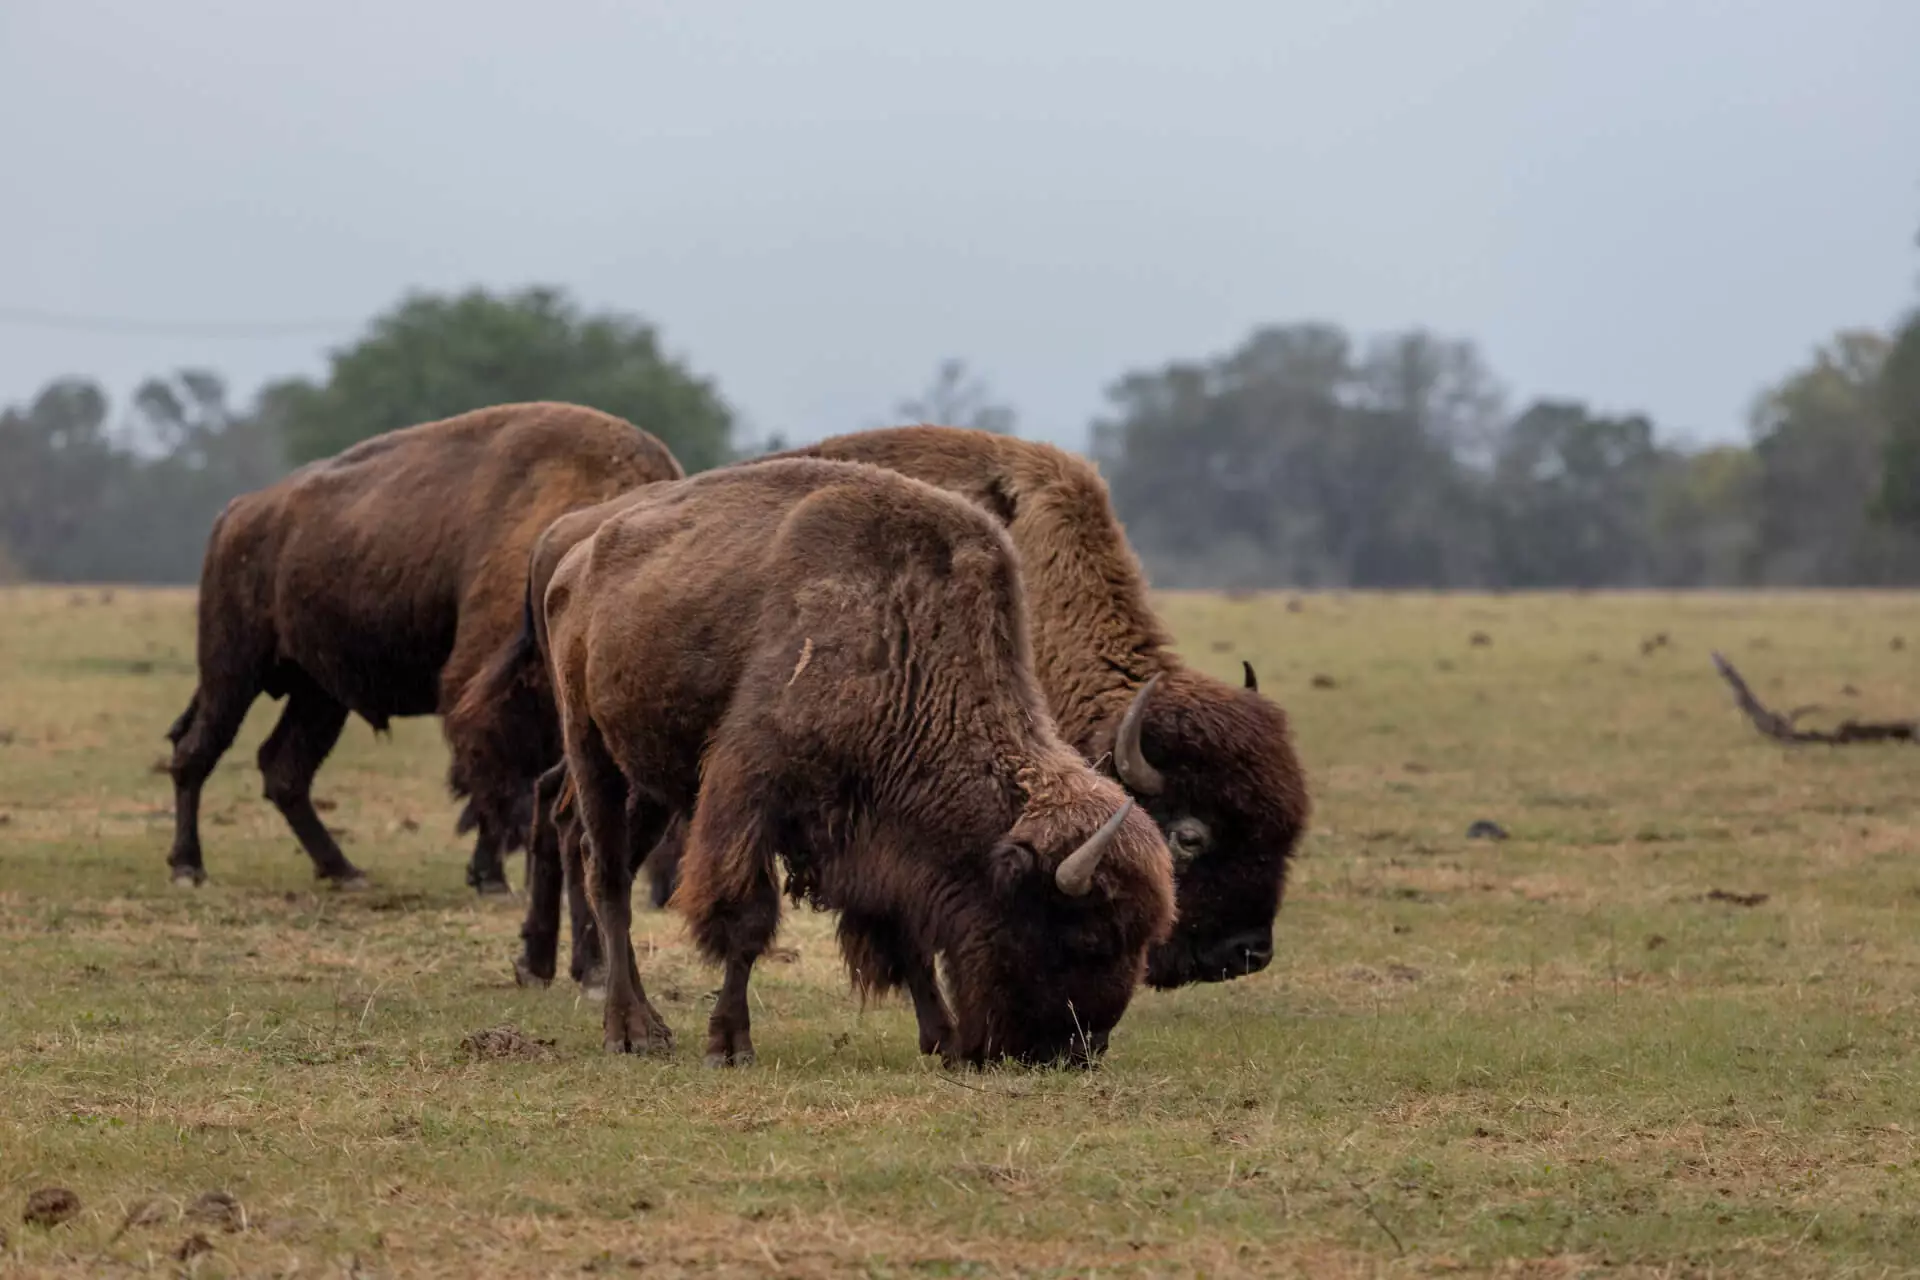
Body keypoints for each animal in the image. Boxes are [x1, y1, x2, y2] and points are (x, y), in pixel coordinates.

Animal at [165, 401, 687, 890]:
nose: (669, 886)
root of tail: (238, 512)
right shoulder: (492, 694)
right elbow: (496, 783)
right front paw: (491, 879)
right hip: (234, 669)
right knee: (197, 751)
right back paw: (189, 866)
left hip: (320, 693)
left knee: (285, 769)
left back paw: (344, 870)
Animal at [533, 460, 1175, 1074]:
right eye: (1087, 935)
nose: (1076, 1051)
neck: (906, 645)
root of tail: (575, 559)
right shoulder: (751, 795)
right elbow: (747, 924)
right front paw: (729, 1046)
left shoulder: (878, 840)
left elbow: (904, 933)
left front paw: (942, 1039)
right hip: (589, 746)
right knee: (608, 876)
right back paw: (630, 1031)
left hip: (648, 782)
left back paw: (652, 1025)